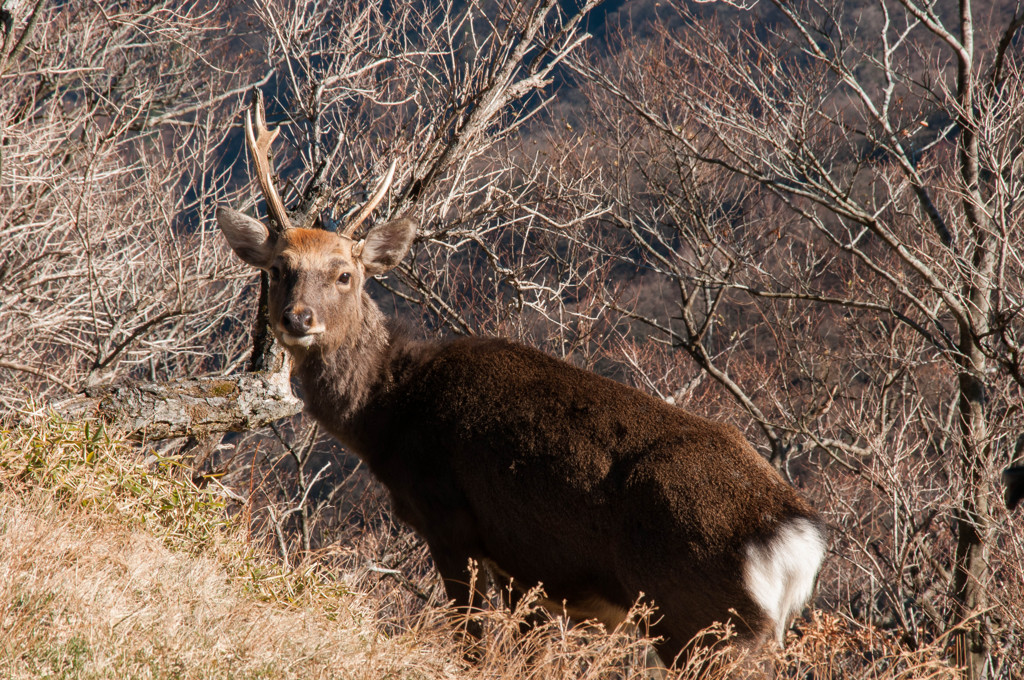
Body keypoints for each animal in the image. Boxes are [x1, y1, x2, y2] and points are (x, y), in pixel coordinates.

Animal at [214, 93, 823, 667]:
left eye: (344, 274)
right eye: (278, 269)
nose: (298, 319)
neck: (391, 411)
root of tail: (796, 538)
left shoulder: (451, 519)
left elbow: (470, 640)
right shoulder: (522, 563)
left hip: (695, 614)